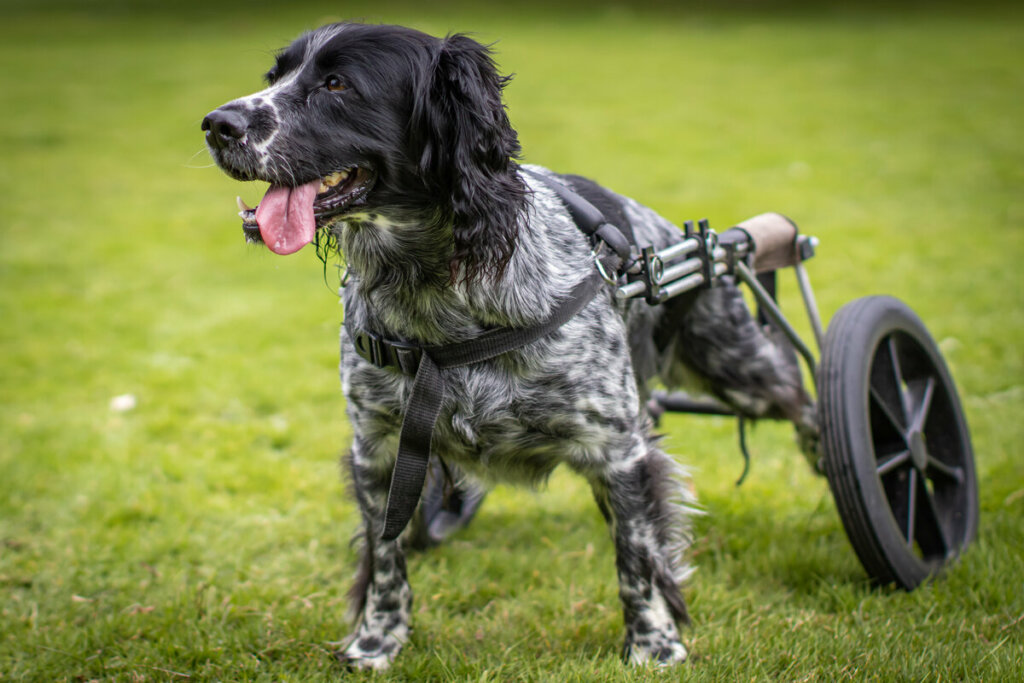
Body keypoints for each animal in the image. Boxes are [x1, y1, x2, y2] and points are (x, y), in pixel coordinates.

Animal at [203, 22, 819, 671]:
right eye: (275, 76)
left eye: (338, 84)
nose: (216, 124)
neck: (435, 295)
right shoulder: (377, 449)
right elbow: (385, 558)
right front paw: (377, 643)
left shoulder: (619, 451)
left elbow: (638, 556)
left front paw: (653, 646)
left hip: (738, 363)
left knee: (803, 396)